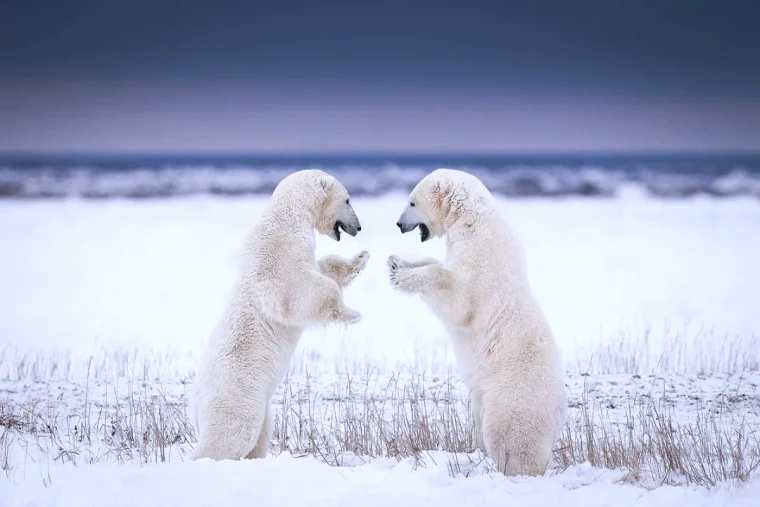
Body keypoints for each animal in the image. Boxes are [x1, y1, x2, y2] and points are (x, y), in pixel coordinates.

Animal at [190, 170, 368, 460]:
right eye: (347, 200)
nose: (359, 227)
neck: (287, 216)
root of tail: (195, 403)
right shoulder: (279, 252)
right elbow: (298, 291)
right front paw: (352, 313)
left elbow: (323, 268)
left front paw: (360, 260)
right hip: (237, 393)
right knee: (232, 434)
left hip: (260, 405)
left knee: (260, 436)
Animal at [388, 170, 568, 476]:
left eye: (412, 202)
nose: (399, 224)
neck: (472, 219)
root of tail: (559, 412)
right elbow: (439, 262)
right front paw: (396, 262)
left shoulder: (482, 255)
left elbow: (460, 298)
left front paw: (401, 276)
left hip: (514, 393)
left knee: (509, 433)